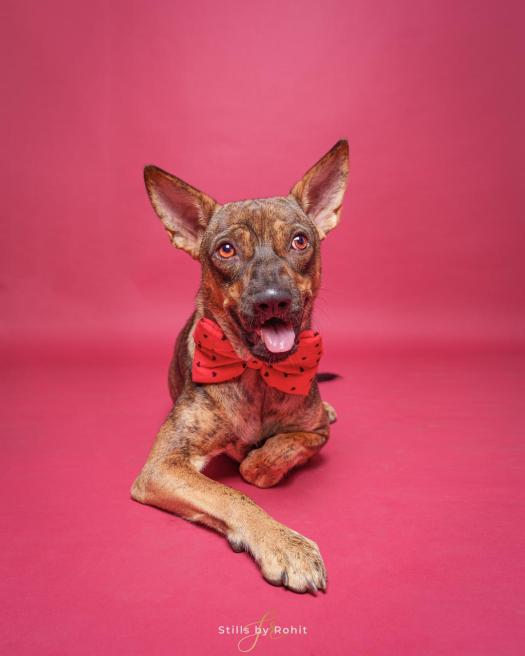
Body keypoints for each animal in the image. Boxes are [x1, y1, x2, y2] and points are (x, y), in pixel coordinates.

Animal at [131, 140, 349, 594]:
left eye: (300, 241)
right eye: (226, 249)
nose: (273, 299)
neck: (258, 374)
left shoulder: (316, 432)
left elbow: (287, 445)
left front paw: (260, 461)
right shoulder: (163, 465)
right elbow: (235, 495)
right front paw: (284, 543)